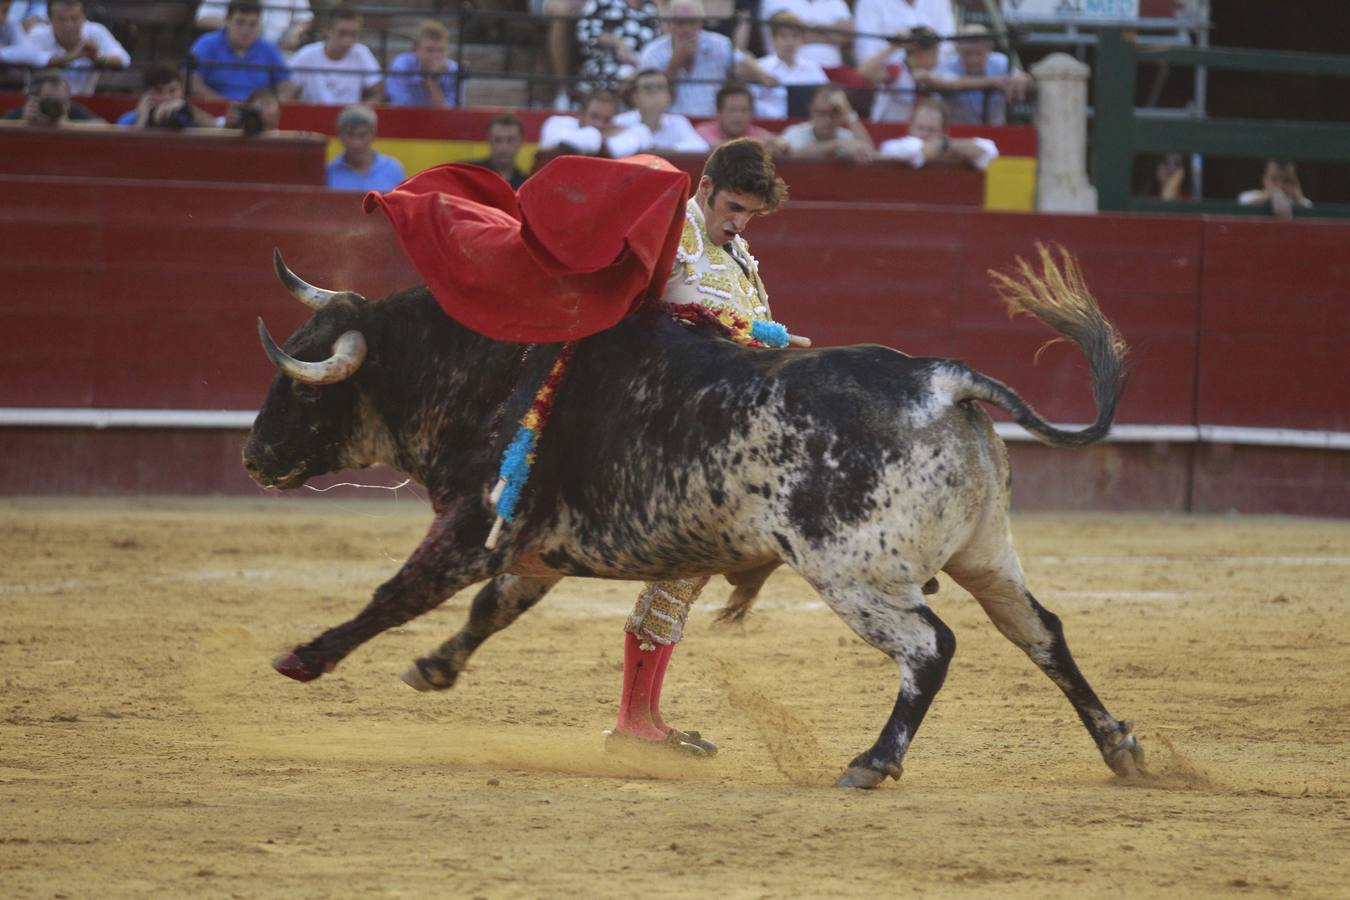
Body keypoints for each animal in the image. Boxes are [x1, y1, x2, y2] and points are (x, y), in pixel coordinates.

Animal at [248, 244, 1144, 788]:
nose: (254, 456)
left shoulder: (474, 526)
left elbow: (399, 594)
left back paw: (870, 762)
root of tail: (940, 379)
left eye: (301, 385)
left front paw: (303, 658)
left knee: (931, 647)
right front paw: (436, 667)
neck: (486, 365)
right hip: (986, 555)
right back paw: (1121, 746)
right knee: (1040, 633)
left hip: (852, 574)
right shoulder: (532, 548)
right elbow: (492, 610)